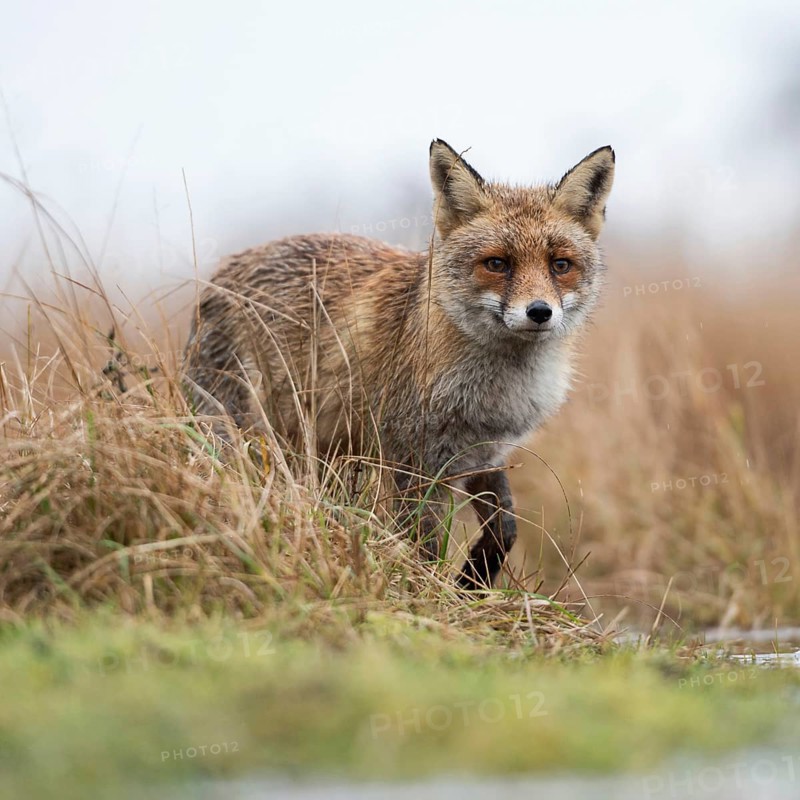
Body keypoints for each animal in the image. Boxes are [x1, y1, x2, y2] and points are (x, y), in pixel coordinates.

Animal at [183, 139, 615, 590]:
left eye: (560, 265)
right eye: (497, 263)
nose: (540, 312)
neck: (494, 394)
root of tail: (220, 273)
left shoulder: (485, 454)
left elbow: (504, 529)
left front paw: (473, 581)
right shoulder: (416, 462)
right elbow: (425, 548)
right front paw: (437, 592)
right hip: (239, 429)